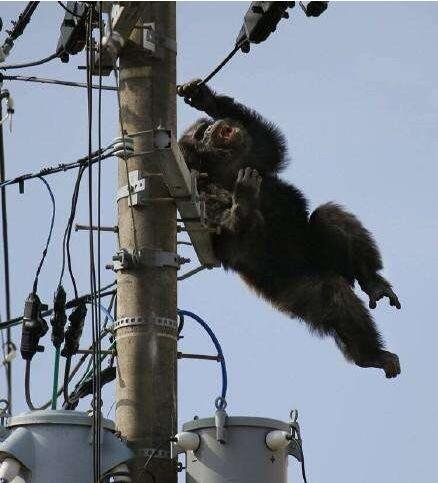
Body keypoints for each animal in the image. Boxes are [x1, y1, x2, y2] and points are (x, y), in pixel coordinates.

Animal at [177, 79, 400, 378]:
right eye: (201, 136)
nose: (213, 128)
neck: (222, 170)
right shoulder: (199, 191)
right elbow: (228, 238)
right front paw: (243, 199)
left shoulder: (253, 156)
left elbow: (267, 142)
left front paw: (205, 98)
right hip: (296, 296)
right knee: (332, 295)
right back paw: (370, 354)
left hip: (325, 255)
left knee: (329, 215)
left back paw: (372, 280)